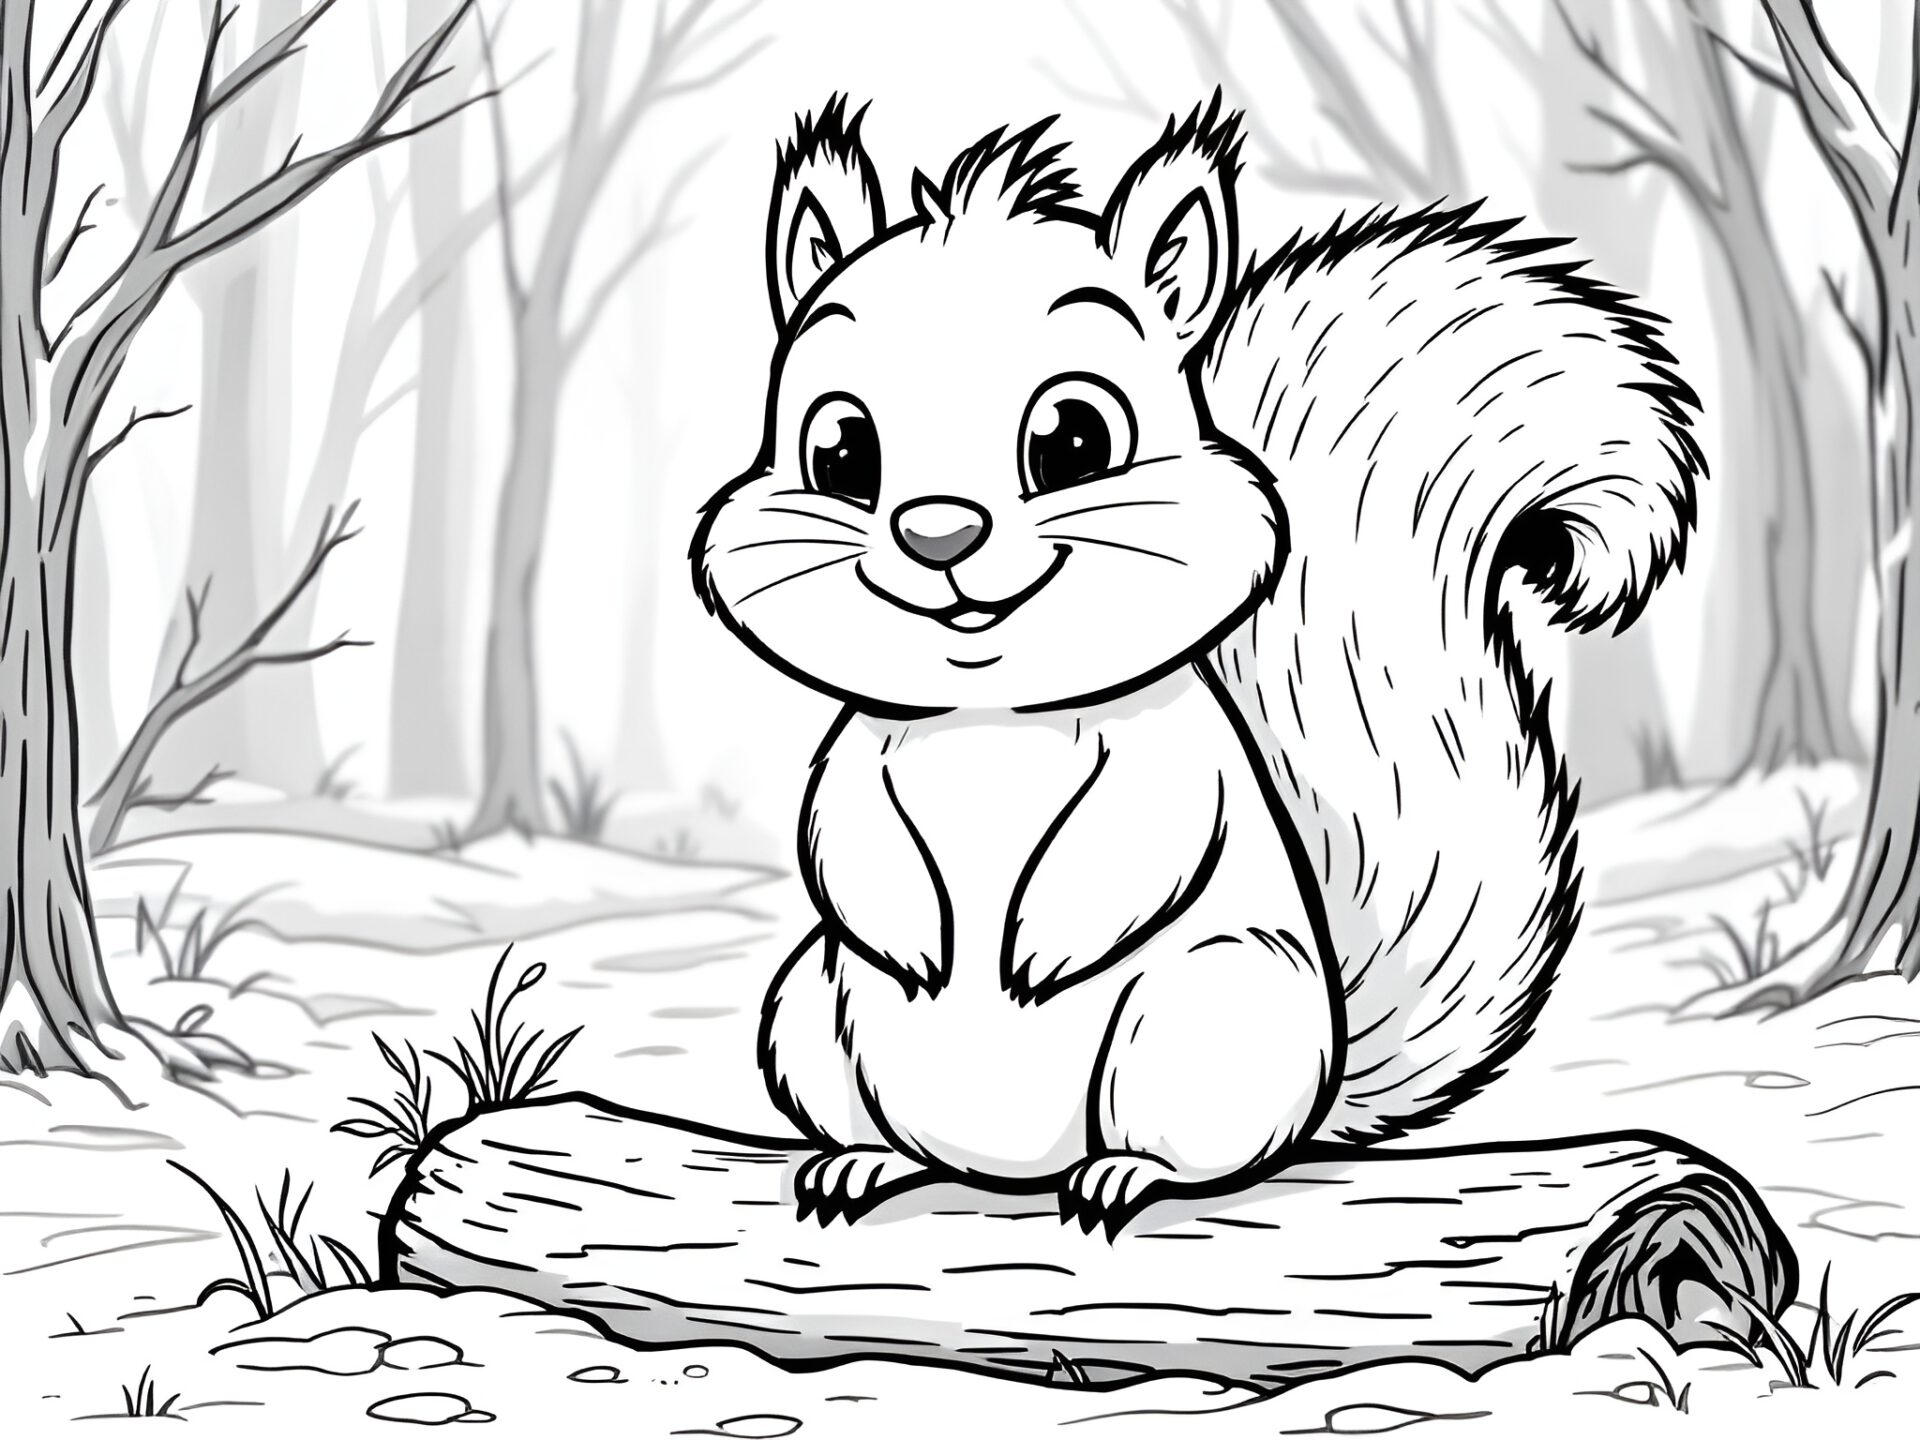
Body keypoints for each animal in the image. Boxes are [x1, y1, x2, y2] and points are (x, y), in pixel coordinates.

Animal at [692, 94, 1702, 1237]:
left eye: (1075, 437)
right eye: (839, 452)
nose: (937, 534)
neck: (990, 722)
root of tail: (1010, 1169)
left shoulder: (1178, 761)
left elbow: (1145, 838)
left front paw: (1038, 951)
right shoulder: (858, 756)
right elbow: (839, 842)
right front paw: (916, 941)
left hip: (1206, 1010)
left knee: (1204, 1152)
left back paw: (1128, 1173)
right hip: (809, 1010)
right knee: (884, 1122)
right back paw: (863, 1161)